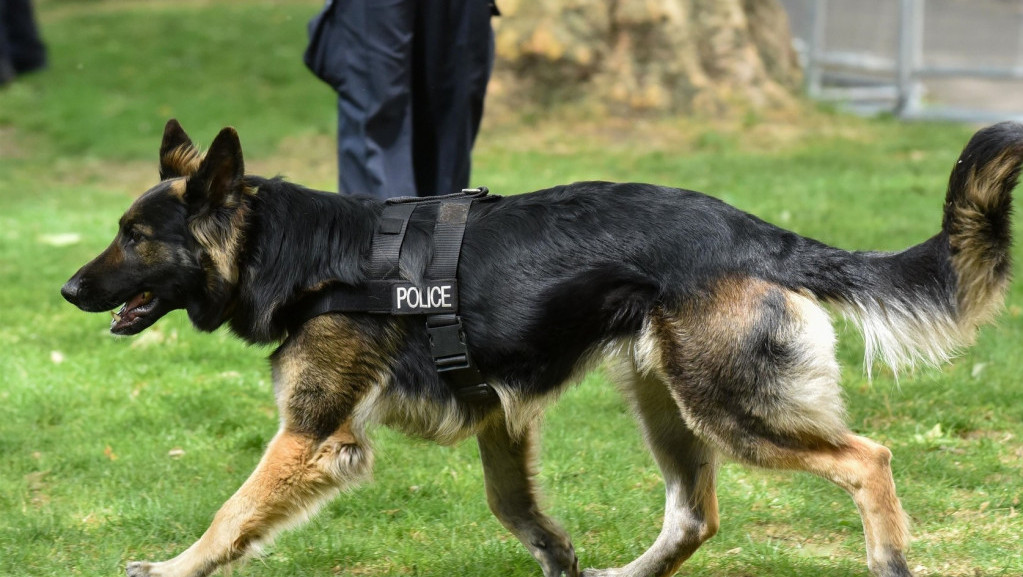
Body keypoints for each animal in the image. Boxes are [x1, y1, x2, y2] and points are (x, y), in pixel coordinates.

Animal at [63, 118, 1023, 577]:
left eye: (136, 238)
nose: (68, 290)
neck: (296, 251)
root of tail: (758, 233)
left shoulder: (313, 434)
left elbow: (231, 514)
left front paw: (171, 566)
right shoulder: (498, 416)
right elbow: (513, 506)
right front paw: (559, 559)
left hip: (727, 405)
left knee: (868, 457)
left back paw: (889, 559)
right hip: (664, 399)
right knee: (694, 514)